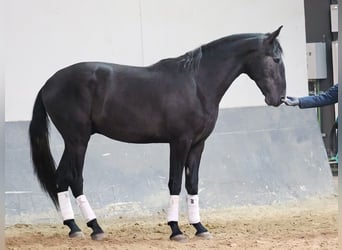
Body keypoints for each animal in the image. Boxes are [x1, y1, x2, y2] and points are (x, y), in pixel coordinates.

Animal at [28, 26, 286, 241]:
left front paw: (199, 227)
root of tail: (48, 84)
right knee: (75, 179)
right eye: (276, 59)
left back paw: (74, 227)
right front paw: (176, 230)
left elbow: (192, 184)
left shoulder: (198, 144)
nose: (279, 98)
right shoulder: (179, 142)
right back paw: (96, 228)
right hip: (78, 141)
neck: (197, 84)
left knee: (61, 178)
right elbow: (175, 183)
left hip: (72, 142)